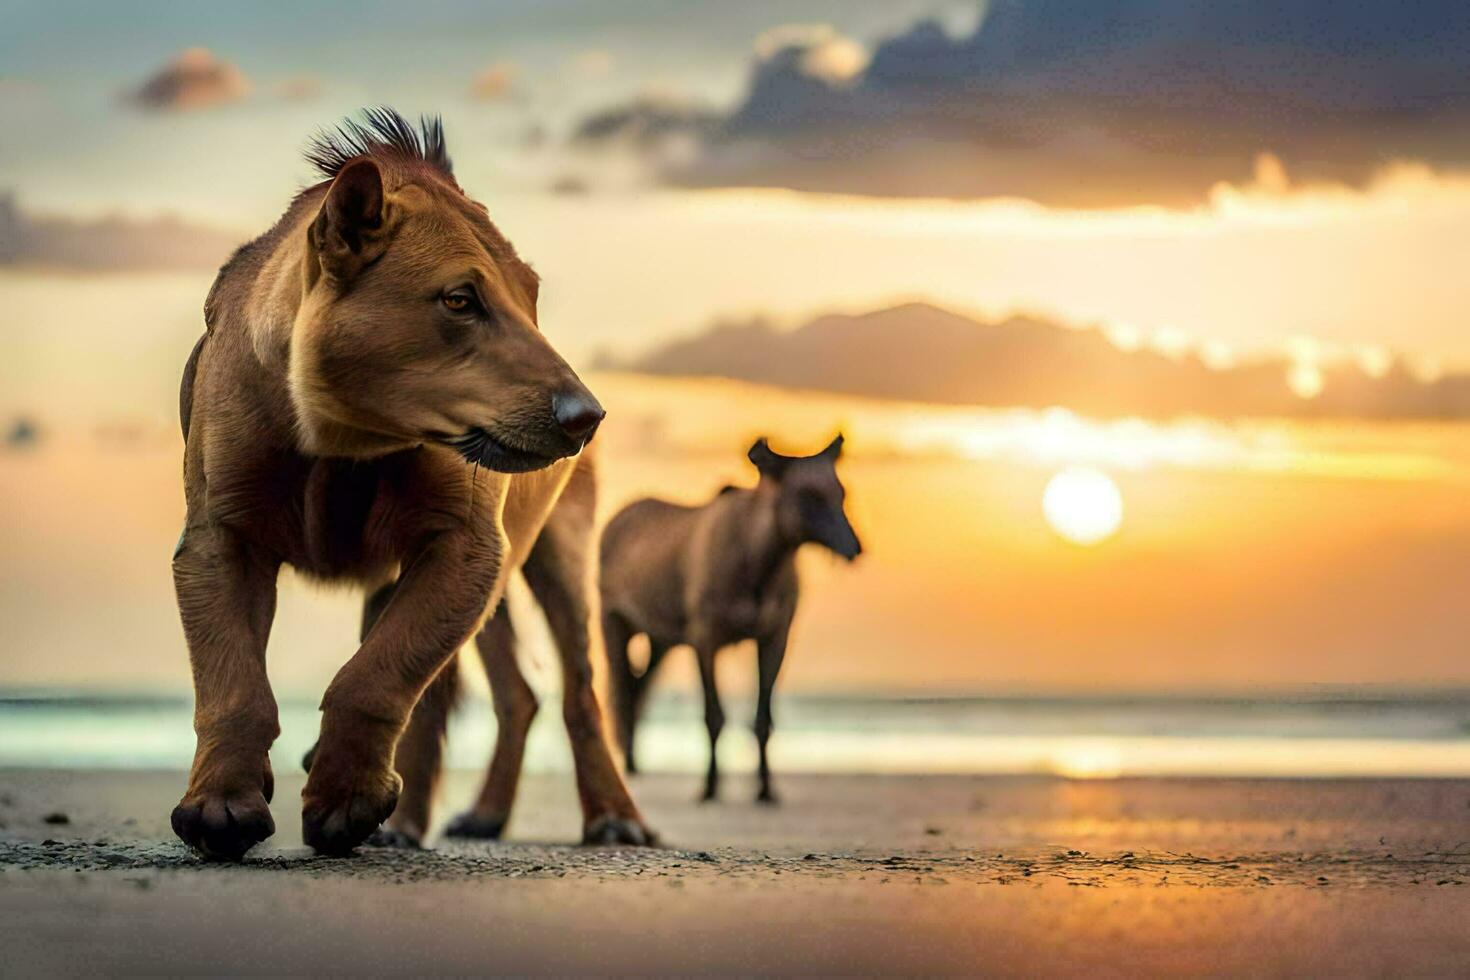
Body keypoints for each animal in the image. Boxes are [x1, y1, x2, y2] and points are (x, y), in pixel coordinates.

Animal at [171, 109, 649, 858]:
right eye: (459, 300)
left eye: (532, 301)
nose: (587, 416)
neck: (341, 438)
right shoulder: (220, 537)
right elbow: (233, 683)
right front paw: (220, 808)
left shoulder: (464, 544)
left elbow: (374, 679)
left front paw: (343, 799)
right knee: (514, 696)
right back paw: (450, 819)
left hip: (557, 555)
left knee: (576, 691)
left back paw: (611, 817)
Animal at [596, 437, 858, 805]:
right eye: (807, 494)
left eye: (841, 492)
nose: (854, 547)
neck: (762, 564)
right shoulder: (705, 636)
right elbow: (713, 716)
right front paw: (709, 786)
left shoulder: (775, 635)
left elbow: (762, 720)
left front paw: (765, 789)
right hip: (614, 621)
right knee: (621, 688)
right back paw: (629, 768)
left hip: (661, 639)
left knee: (638, 687)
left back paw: (635, 761)